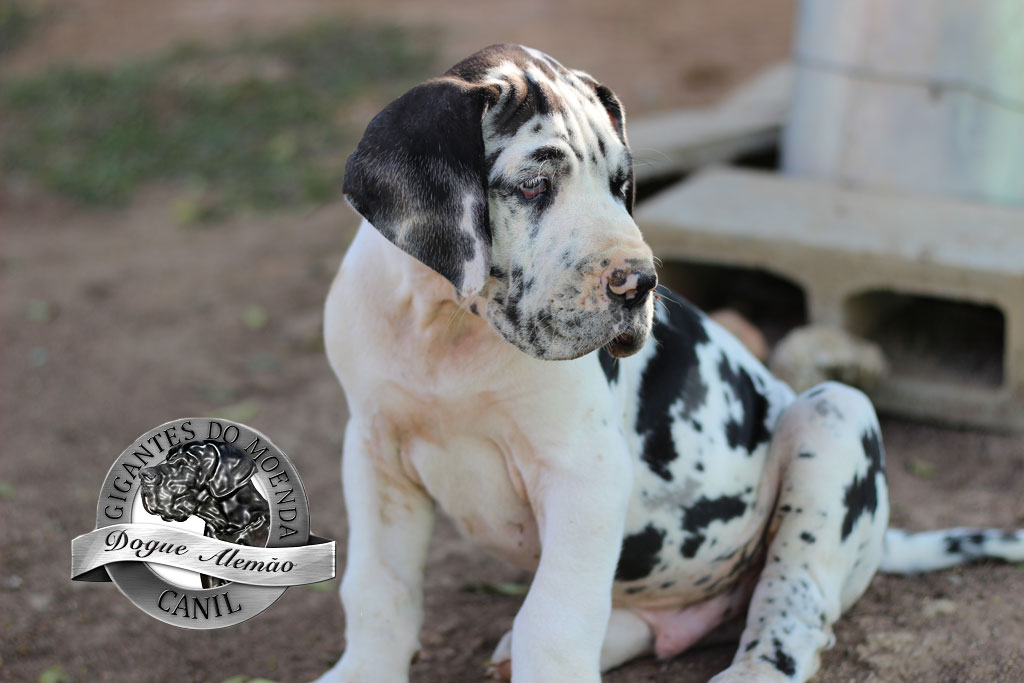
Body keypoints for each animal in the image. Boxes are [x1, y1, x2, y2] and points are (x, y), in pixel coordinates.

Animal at [317, 44, 1024, 683]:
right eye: (533, 186)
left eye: (620, 186)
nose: (639, 283)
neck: (446, 327)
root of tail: (878, 540)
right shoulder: (375, 455)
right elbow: (378, 590)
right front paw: (363, 673)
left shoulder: (585, 472)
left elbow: (556, 614)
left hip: (834, 418)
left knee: (794, 602)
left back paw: (753, 668)